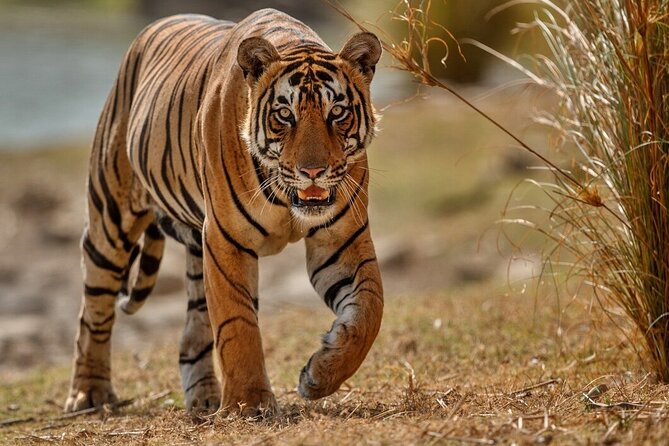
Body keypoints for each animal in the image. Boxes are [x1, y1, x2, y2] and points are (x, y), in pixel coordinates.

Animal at [64, 9, 384, 417]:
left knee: (191, 334)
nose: (313, 171)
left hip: (194, 251)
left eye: (337, 113)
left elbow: (370, 308)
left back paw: (204, 399)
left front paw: (319, 375)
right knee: (93, 311)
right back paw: (88, 394)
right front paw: (250, 404)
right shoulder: (224, 239)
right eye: (285, 115)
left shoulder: (341, 240)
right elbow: (237, 323)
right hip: (110, 219)